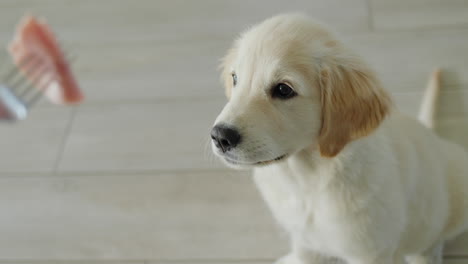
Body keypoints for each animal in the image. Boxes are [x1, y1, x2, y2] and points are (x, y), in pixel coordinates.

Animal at [210, 13, 468, 264]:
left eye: (283, 90)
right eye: (235, 78)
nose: (220, 137)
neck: (306, 180)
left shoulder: (370, 253)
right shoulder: (306, 243)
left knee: (432, 241)